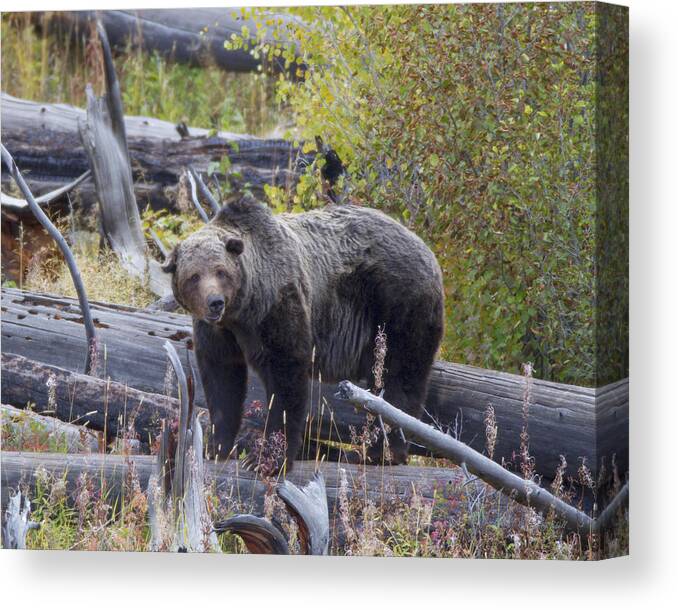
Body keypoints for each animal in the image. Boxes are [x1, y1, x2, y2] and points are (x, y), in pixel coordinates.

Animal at [163, 195, 446, 470]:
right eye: (194, 276)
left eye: (221, 271)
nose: (215, 302)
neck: (242, 310)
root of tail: (427, 249)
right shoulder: (217, 332)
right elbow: (222, 379)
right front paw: (217, 447)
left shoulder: (277, 305)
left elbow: (286, 373)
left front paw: (266, 459)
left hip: (398, 306)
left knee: (399, 376)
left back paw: (381, 451)